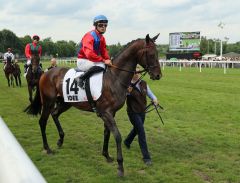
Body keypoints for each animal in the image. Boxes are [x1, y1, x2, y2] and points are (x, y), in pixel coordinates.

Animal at [24, 34, 162, 176]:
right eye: (152, 54)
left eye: (157, 53)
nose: (158, 75)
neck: (114, 78)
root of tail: (45, 73)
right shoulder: (105, 112)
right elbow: (117, 135)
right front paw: (120, 166)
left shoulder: (111, 113)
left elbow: (107, 133)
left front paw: (107, 155)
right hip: (48, 102)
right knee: (42, 121)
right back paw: (47, 148)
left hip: (66, 102)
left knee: (55, 114)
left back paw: (60, 140)